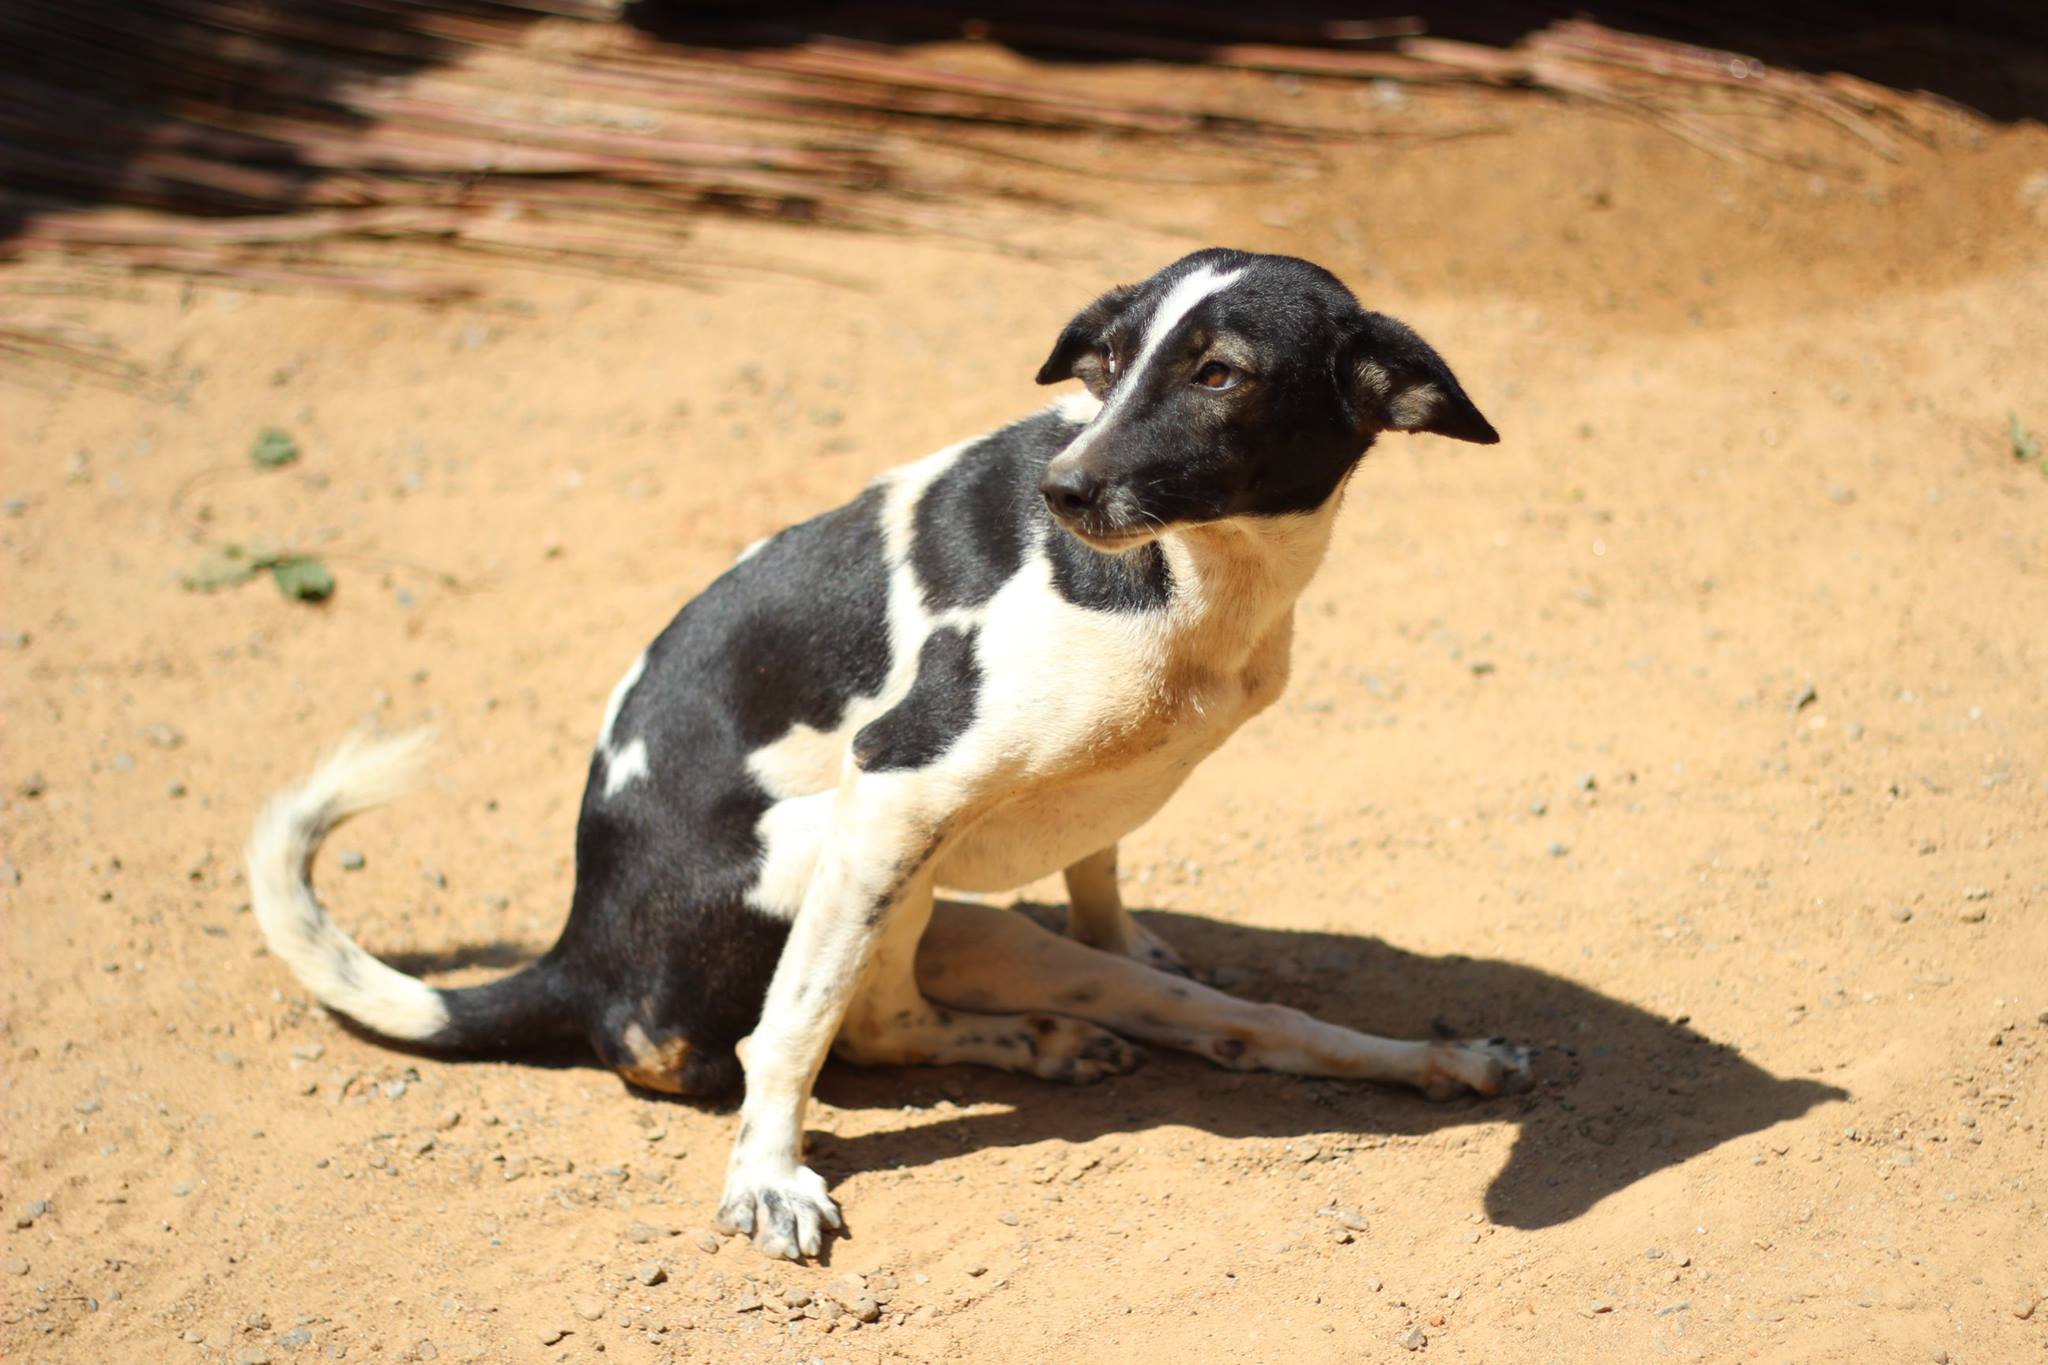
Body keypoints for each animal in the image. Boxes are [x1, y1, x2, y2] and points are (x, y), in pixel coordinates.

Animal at [243, 245, 1523, 1260]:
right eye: (1105, 363)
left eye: (1219, 374)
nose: (1061, 492)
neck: (1200, 578)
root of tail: (580, 950)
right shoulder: (902, 776)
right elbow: (795, 1030)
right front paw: (766, 1178)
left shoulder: (1086, 799)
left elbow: (1100, 880)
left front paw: (1131, 932)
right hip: (844, 851)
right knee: (819, 1025)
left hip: (964, 918)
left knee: (1162, 1020)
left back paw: (1409, 1061)